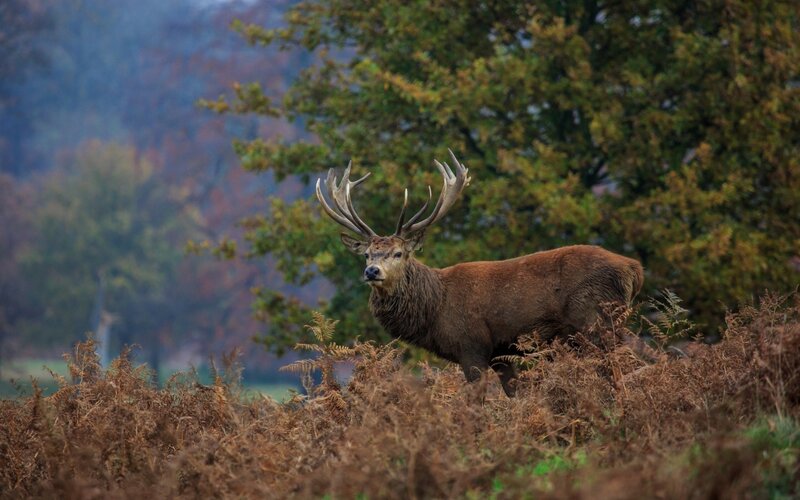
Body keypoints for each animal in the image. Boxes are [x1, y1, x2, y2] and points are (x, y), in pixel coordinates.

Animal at [315, 149, 644, 396]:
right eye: (367, 254)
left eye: (398, 253)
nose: (372, 271)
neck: (436, 308)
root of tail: (633, 269)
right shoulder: (501, 353)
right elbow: (515, 394)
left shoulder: (472, 346)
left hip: (595, 320)